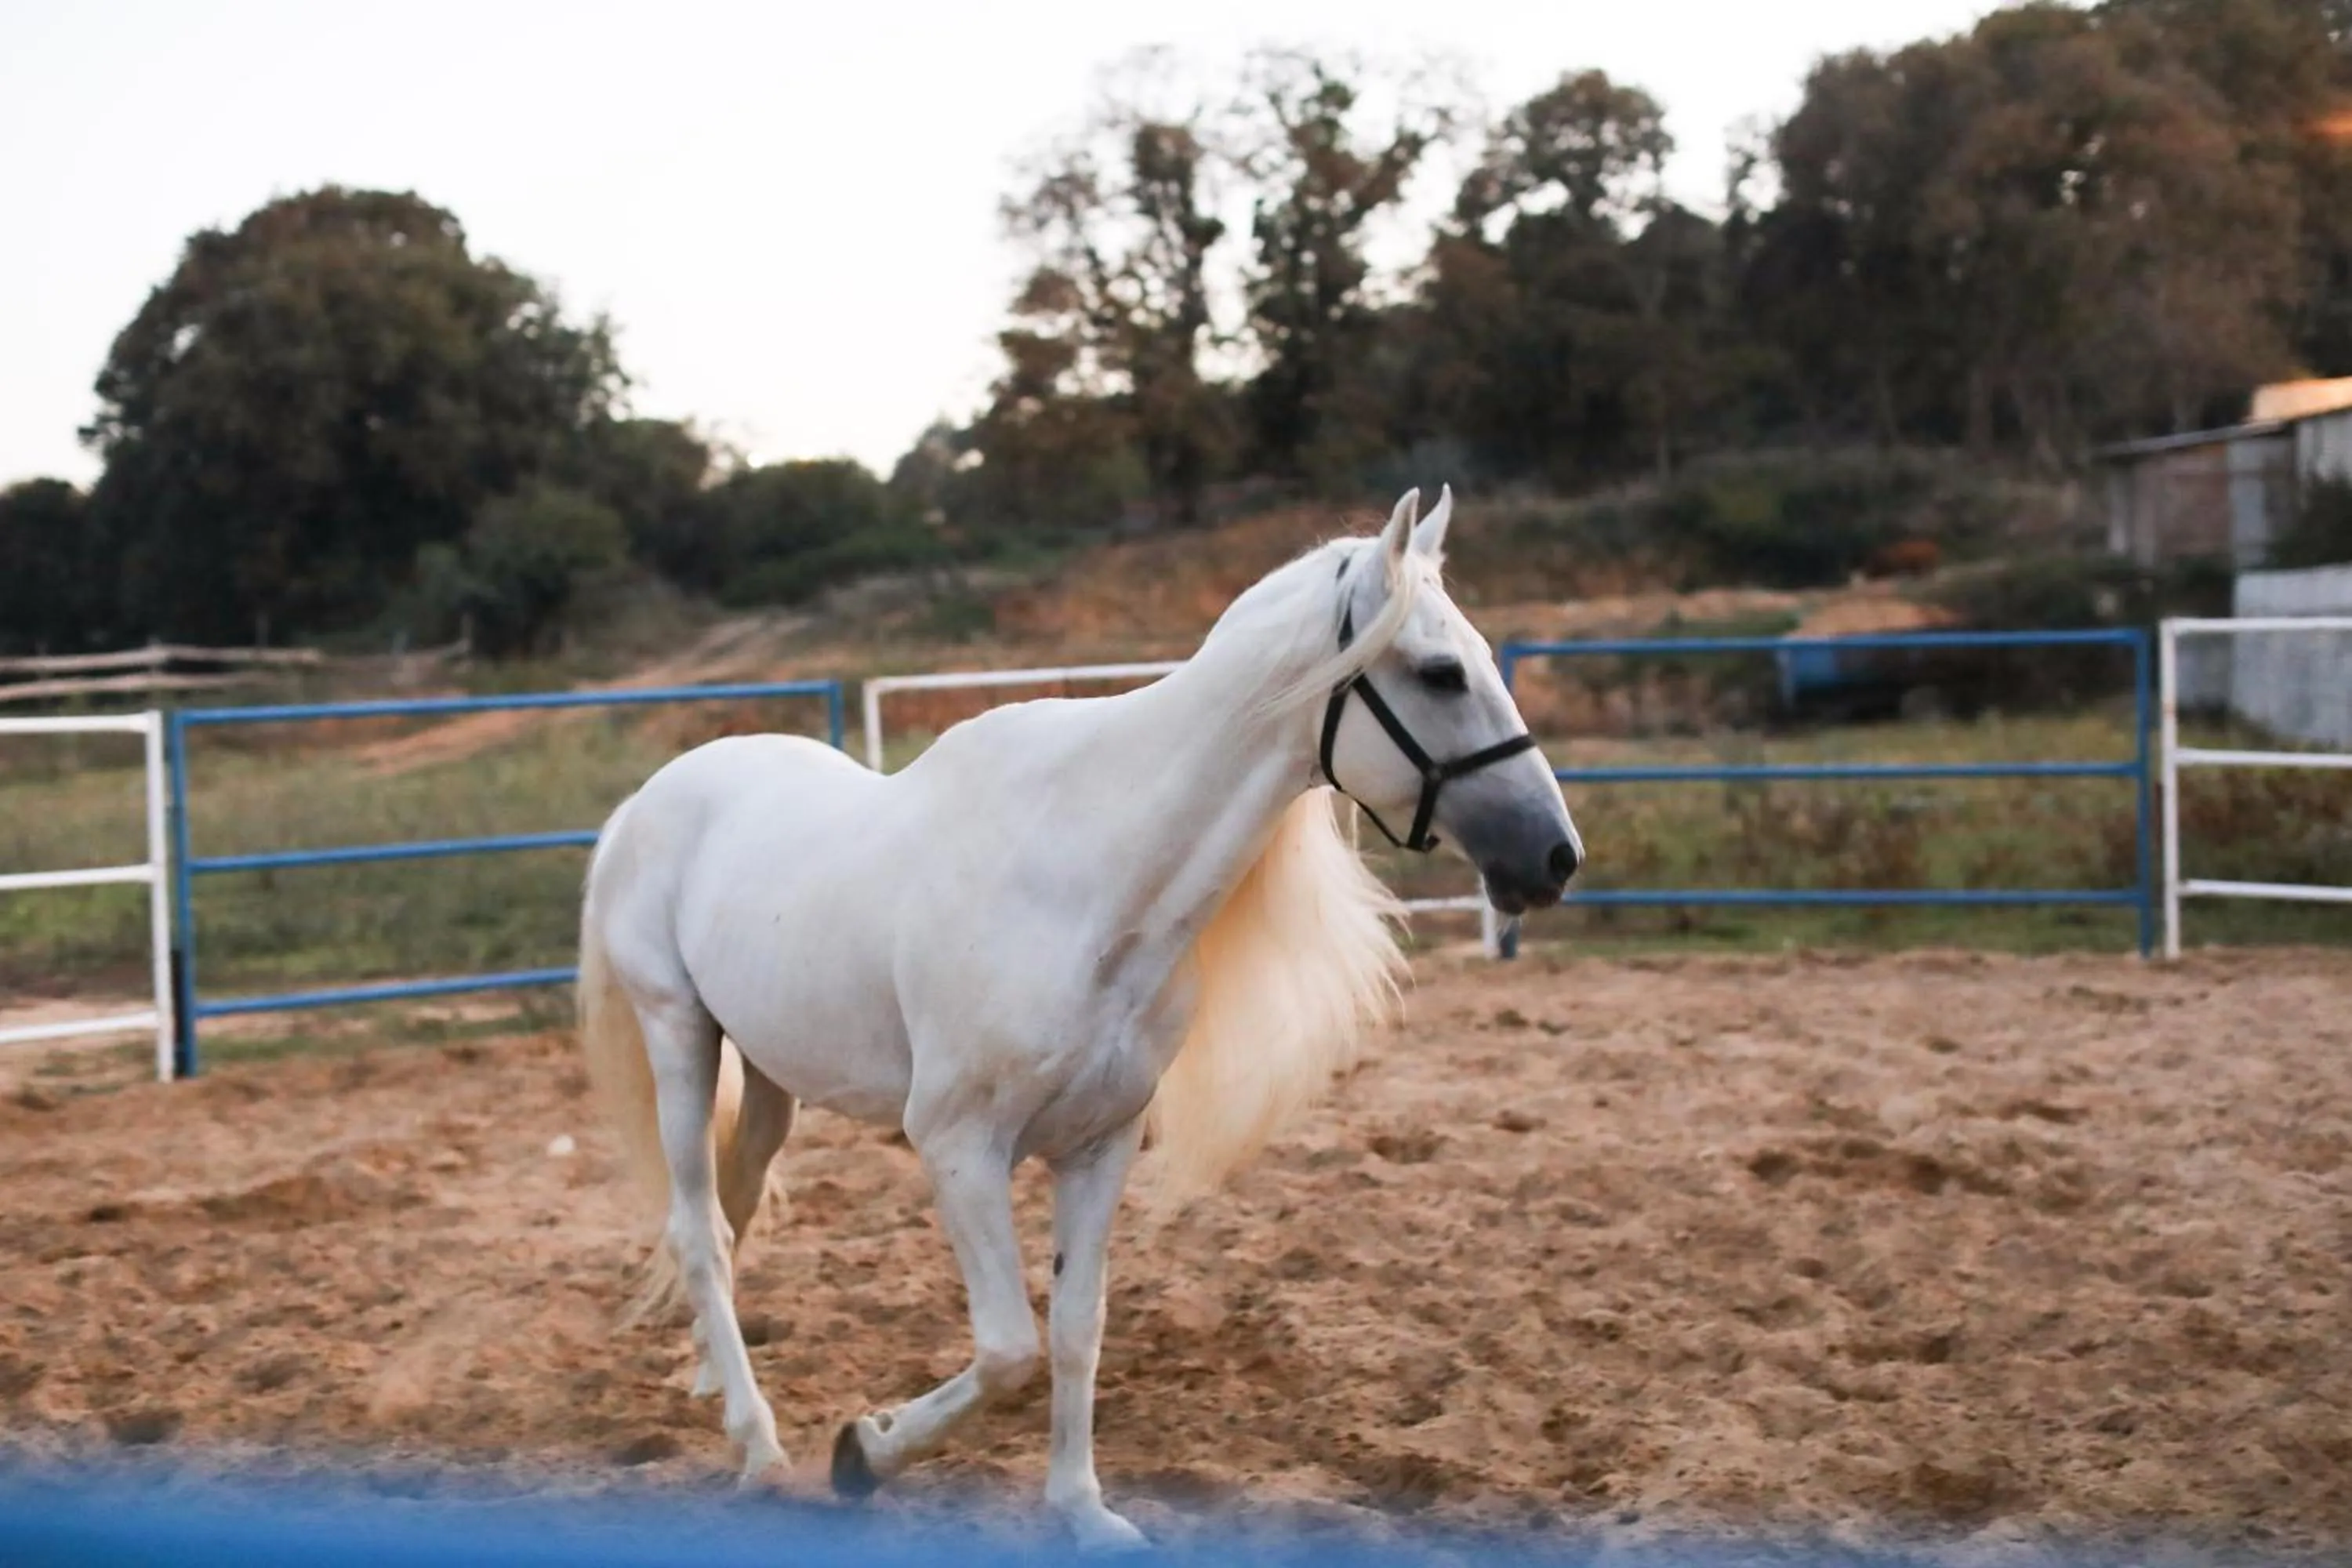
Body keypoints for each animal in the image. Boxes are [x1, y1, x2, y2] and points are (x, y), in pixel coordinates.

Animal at [574, 486, 1582, 1546]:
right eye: (1439, 672)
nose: (1555, 856)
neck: (1087, 878)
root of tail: (647, 800)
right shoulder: (957, 1143)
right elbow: (1009, 1346)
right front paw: (861, 1452)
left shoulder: (1101, 1142)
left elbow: (1074, 1328)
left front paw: (1082, 1509)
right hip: (680, 1037)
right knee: (699, 1230)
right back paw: (761, 1446)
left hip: (770, 1077)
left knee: (728, 1215)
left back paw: (711, 1385)